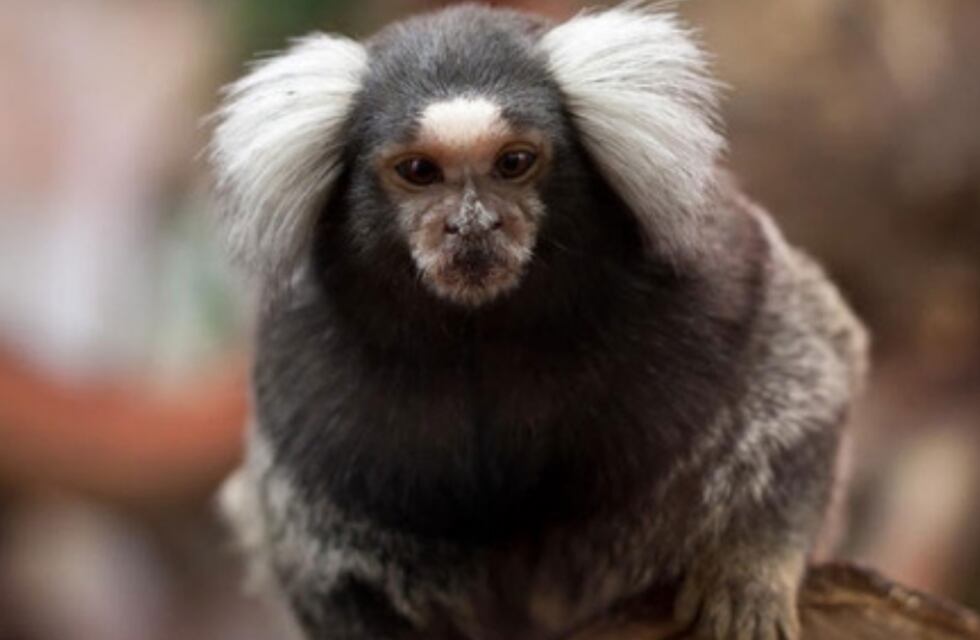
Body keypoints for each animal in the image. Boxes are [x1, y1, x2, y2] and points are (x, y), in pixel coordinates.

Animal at [210, 4, 868, 640]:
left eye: (514, 163)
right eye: (420, 171)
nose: (473, 224)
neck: (481, 330)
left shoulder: (723, 282)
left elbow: (801, 386)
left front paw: (747, 568)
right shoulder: (298, 377)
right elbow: (321, 550)